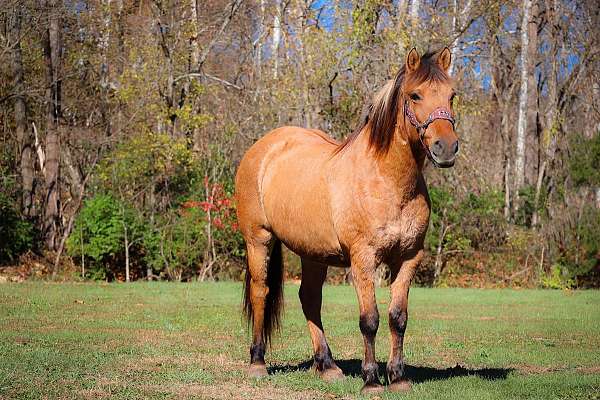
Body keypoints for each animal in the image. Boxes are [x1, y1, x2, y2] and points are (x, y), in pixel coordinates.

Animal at [234, 47, 460, 394]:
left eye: (452, 95)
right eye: (416, 95)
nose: (446, 148)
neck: (386, 180)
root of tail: (264, 148)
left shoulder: (408, 258)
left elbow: (398, 317)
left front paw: (398, 377)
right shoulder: (363, 260)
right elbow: (370, 320)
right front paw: (371, 380)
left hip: (312, 253)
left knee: (310, 299)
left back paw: (327, 366)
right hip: (258, 239)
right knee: (261, 292)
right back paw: (257, 362)